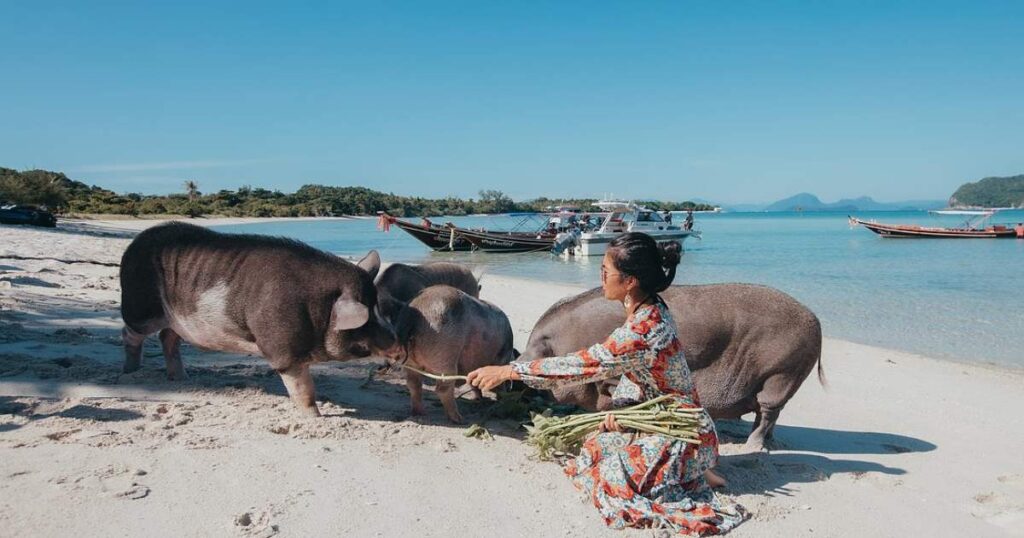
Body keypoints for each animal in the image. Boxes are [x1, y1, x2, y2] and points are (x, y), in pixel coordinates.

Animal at [117, 221, 393, 416]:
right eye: (365, 322)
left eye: (379, 308)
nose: (395, 341)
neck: (319, 308)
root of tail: (134, 244)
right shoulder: (282, 349)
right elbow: (303, 388)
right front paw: (314, 418)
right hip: (140, 307)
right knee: (130, 333)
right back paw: (130, 371)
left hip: (178, 319)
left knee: (168, 336)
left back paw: (182, 378)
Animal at [393, 284, 520, 424]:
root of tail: (411, 317)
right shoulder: (501, 357)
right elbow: (496, 385)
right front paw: (501, 398)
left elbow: (474, 383)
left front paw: (480, 399)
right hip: (445, 356)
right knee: (442, 389)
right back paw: (459, 419)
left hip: (411, 362)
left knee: (413, 384)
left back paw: (419, 413)